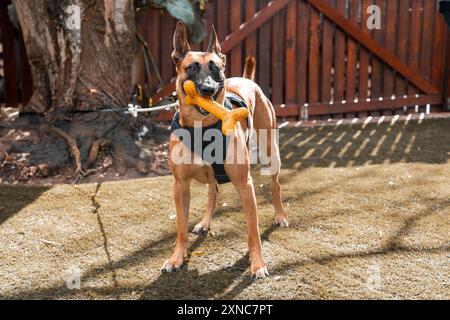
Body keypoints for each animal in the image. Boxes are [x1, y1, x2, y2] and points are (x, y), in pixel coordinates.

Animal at [163, 21, 288, 278]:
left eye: (216, 69)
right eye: (191, 68)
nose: (208, 90)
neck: (203, 127)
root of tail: (247, 79)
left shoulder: (245, 184)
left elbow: (253, 231)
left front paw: (258, 264)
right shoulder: (180, 186)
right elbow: (181, 228)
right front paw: (177, 258)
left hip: (271, 152)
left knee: (275, 186)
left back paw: (280, 216)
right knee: (214, 190)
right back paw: (205, 222)